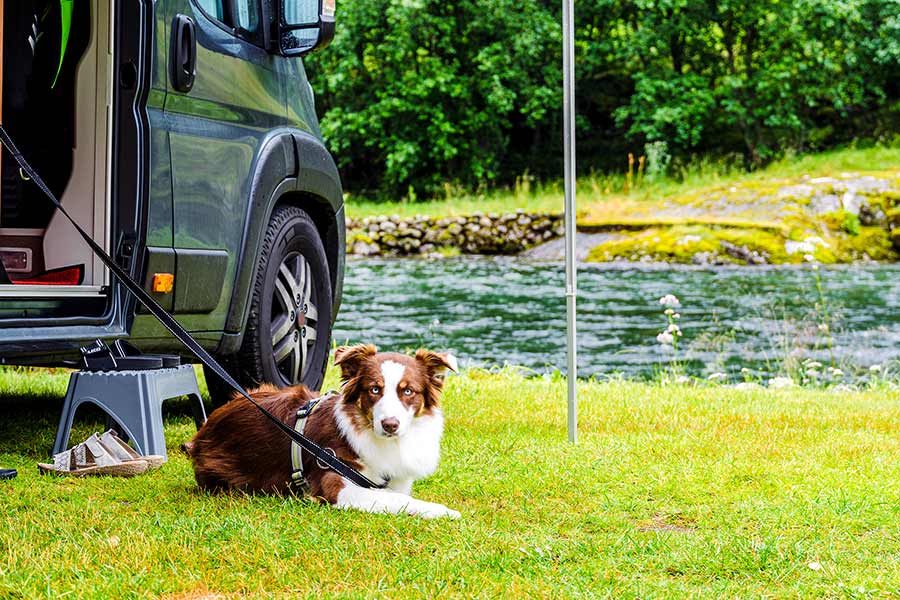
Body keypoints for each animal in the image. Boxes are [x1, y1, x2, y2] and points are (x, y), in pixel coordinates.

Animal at [185, 344, 460, 516]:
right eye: (374, 389)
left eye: (408, 391)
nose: (390, 425)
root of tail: (203, 432)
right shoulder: (335, 485)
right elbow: (399, 499)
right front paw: (441, 510)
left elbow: (398, 493)